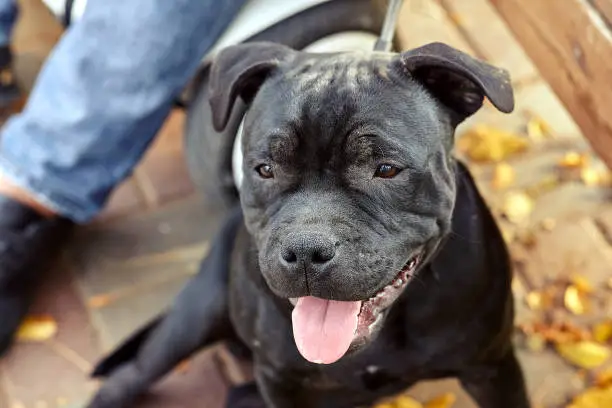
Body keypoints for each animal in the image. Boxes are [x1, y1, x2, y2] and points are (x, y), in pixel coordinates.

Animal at [83, 42, 528, 408]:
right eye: (265, 169)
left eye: (386, 169)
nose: (305, 252)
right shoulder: (282, 382)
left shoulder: (492, 367)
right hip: (193, 319)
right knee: (128, 378)